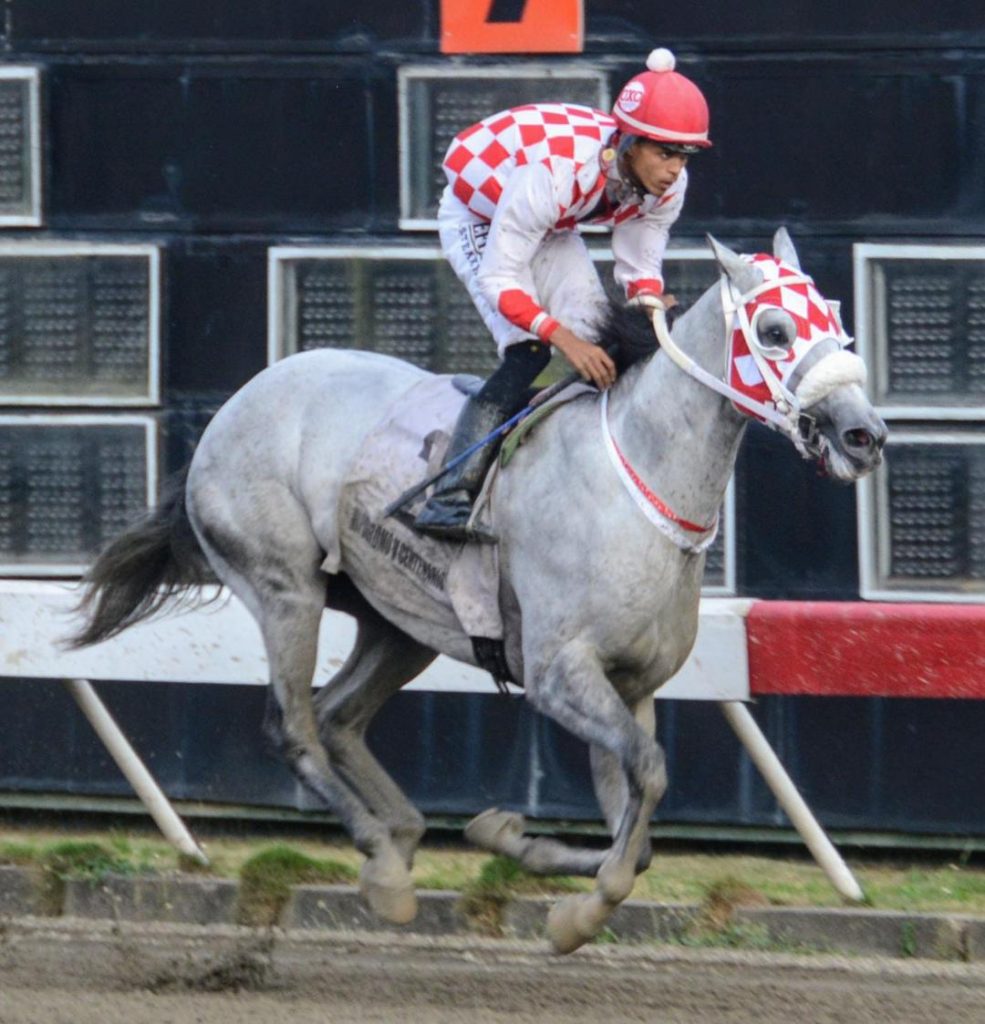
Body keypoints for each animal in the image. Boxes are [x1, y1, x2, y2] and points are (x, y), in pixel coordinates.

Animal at [69, 230, 884, 950]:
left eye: (836, 317)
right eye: (775, 330)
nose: (863, 435)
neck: (636, 480)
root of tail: (235, 407)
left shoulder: (631, 684)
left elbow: (640, 815)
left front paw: (508, 837)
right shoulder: (560, 674)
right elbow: (648, 776)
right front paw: (577, 914)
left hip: (397, 621)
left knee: (338, 716)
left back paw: (400, 833)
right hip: (284, 589)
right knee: (294, 726)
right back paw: (383, 862)